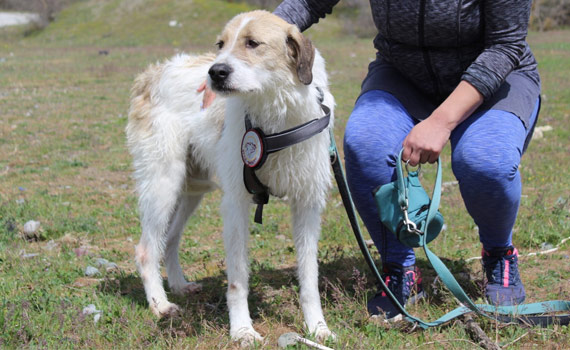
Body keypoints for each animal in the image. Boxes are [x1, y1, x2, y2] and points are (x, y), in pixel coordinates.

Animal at [125, 10, 332, 344]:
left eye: (252, 43)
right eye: (220, 44)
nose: (215, 72)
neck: (274, 112)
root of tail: (152, 73)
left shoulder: (307, 204)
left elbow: (309, 277)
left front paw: (317, 327)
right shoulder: (236, 202)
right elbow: (237, 279)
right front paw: (242, 330)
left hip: (191, 190)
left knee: (169, 238)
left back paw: (179, 285)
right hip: (162, 184)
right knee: (146, 250)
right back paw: (160, 304)